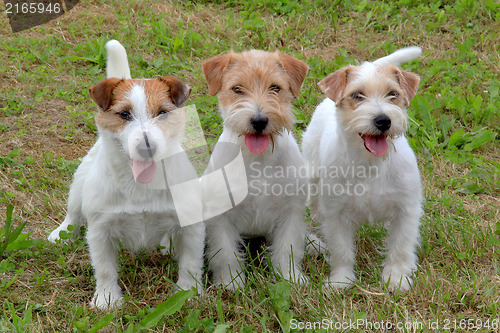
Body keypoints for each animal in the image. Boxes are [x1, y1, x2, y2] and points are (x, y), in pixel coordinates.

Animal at [49, 40, 206, 308]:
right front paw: (106, 298)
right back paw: (62, 233)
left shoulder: (192, 224)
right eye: (124, 114)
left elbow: (191, 263)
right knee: (73, 214)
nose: (146, 146)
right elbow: (104, 268)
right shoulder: (100, 229)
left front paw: (188, 293)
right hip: (78, 187)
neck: (141, 186)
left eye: (163, 113)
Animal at [201, 48, 310, 290]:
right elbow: (226, 252)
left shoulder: (291, 212)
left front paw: (289, 277)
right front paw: (231, 282)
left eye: (275, 88)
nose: (259, 120)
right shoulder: (221, 216)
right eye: (237, 89)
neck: (258, 160)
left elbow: (287, 248)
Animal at [300, 46, 422, 290]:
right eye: (357, 95)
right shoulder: (336, 214)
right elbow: (342, 251)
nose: (383, 120)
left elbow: (400, 248)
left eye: (393, 94)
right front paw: (341, 280)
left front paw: (396, 279)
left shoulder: (406, 210)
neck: (371, 165)